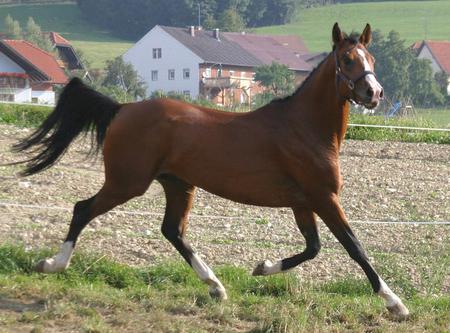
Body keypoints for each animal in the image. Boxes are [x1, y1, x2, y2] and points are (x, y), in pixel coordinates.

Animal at [13, 24, 408, 316]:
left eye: (371, 57)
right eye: (347, 59)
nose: (375, 93)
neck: (305, 128)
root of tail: (123, 108)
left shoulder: (302, 202)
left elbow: (313, 248)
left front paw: (262, 267)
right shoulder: (323, 197)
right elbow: (354, 246)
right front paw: (395, 303)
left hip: (178, 184)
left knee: (172, 230)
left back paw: (216, 286)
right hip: (128, 182)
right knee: (83, 209)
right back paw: (52, 265)